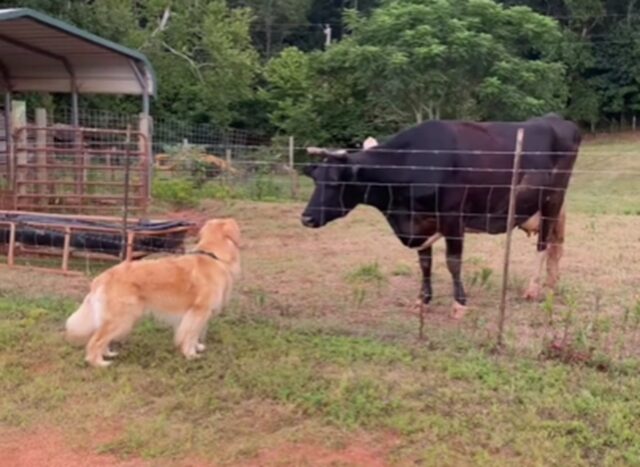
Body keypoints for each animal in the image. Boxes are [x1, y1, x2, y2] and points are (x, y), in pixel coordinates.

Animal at [65, 219, 241, 370]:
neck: (214, 256)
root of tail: (103, 276)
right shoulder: (199, 311)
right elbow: (191, 334)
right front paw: (191, 354)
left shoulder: (197, 314)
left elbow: (196, 333)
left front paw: (197, 347)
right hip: (123, 318)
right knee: (96, 340)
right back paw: (99, 363)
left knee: (101, 337)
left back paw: (107, 353)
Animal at [298, 114, 580, 318]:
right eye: (316, 179)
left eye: (335, 182)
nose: (306, 218)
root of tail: (556, 119)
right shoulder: (420, 222)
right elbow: (425, 263)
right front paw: (423, 300)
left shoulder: (452, 217)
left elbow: (453, 262)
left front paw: (460, 304)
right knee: (555, 245)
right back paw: (551, 285)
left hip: (553, 199)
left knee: (543, 244)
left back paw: (533, 289)